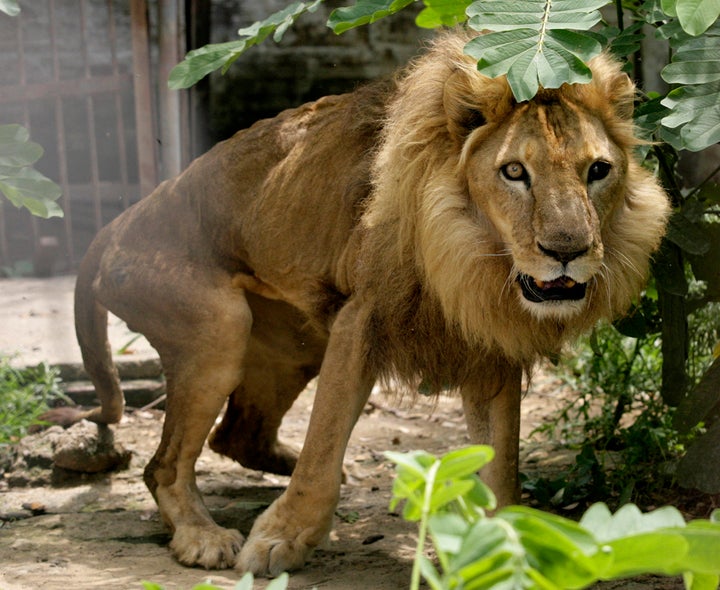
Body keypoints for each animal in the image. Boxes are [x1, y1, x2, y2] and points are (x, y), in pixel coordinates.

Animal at [57, 33, 668, 580]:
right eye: (515, 172)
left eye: (597, 171)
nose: (566, 252)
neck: (473, 259)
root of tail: (117, 223)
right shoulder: (362, 318)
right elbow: (323, 445)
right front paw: (280, 538)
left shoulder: (489, 347)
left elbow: (501, 467)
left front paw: (504, 550)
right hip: (220, 327)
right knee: (164, 466)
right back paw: (203, 536)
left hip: (294, 345)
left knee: (234, 437)